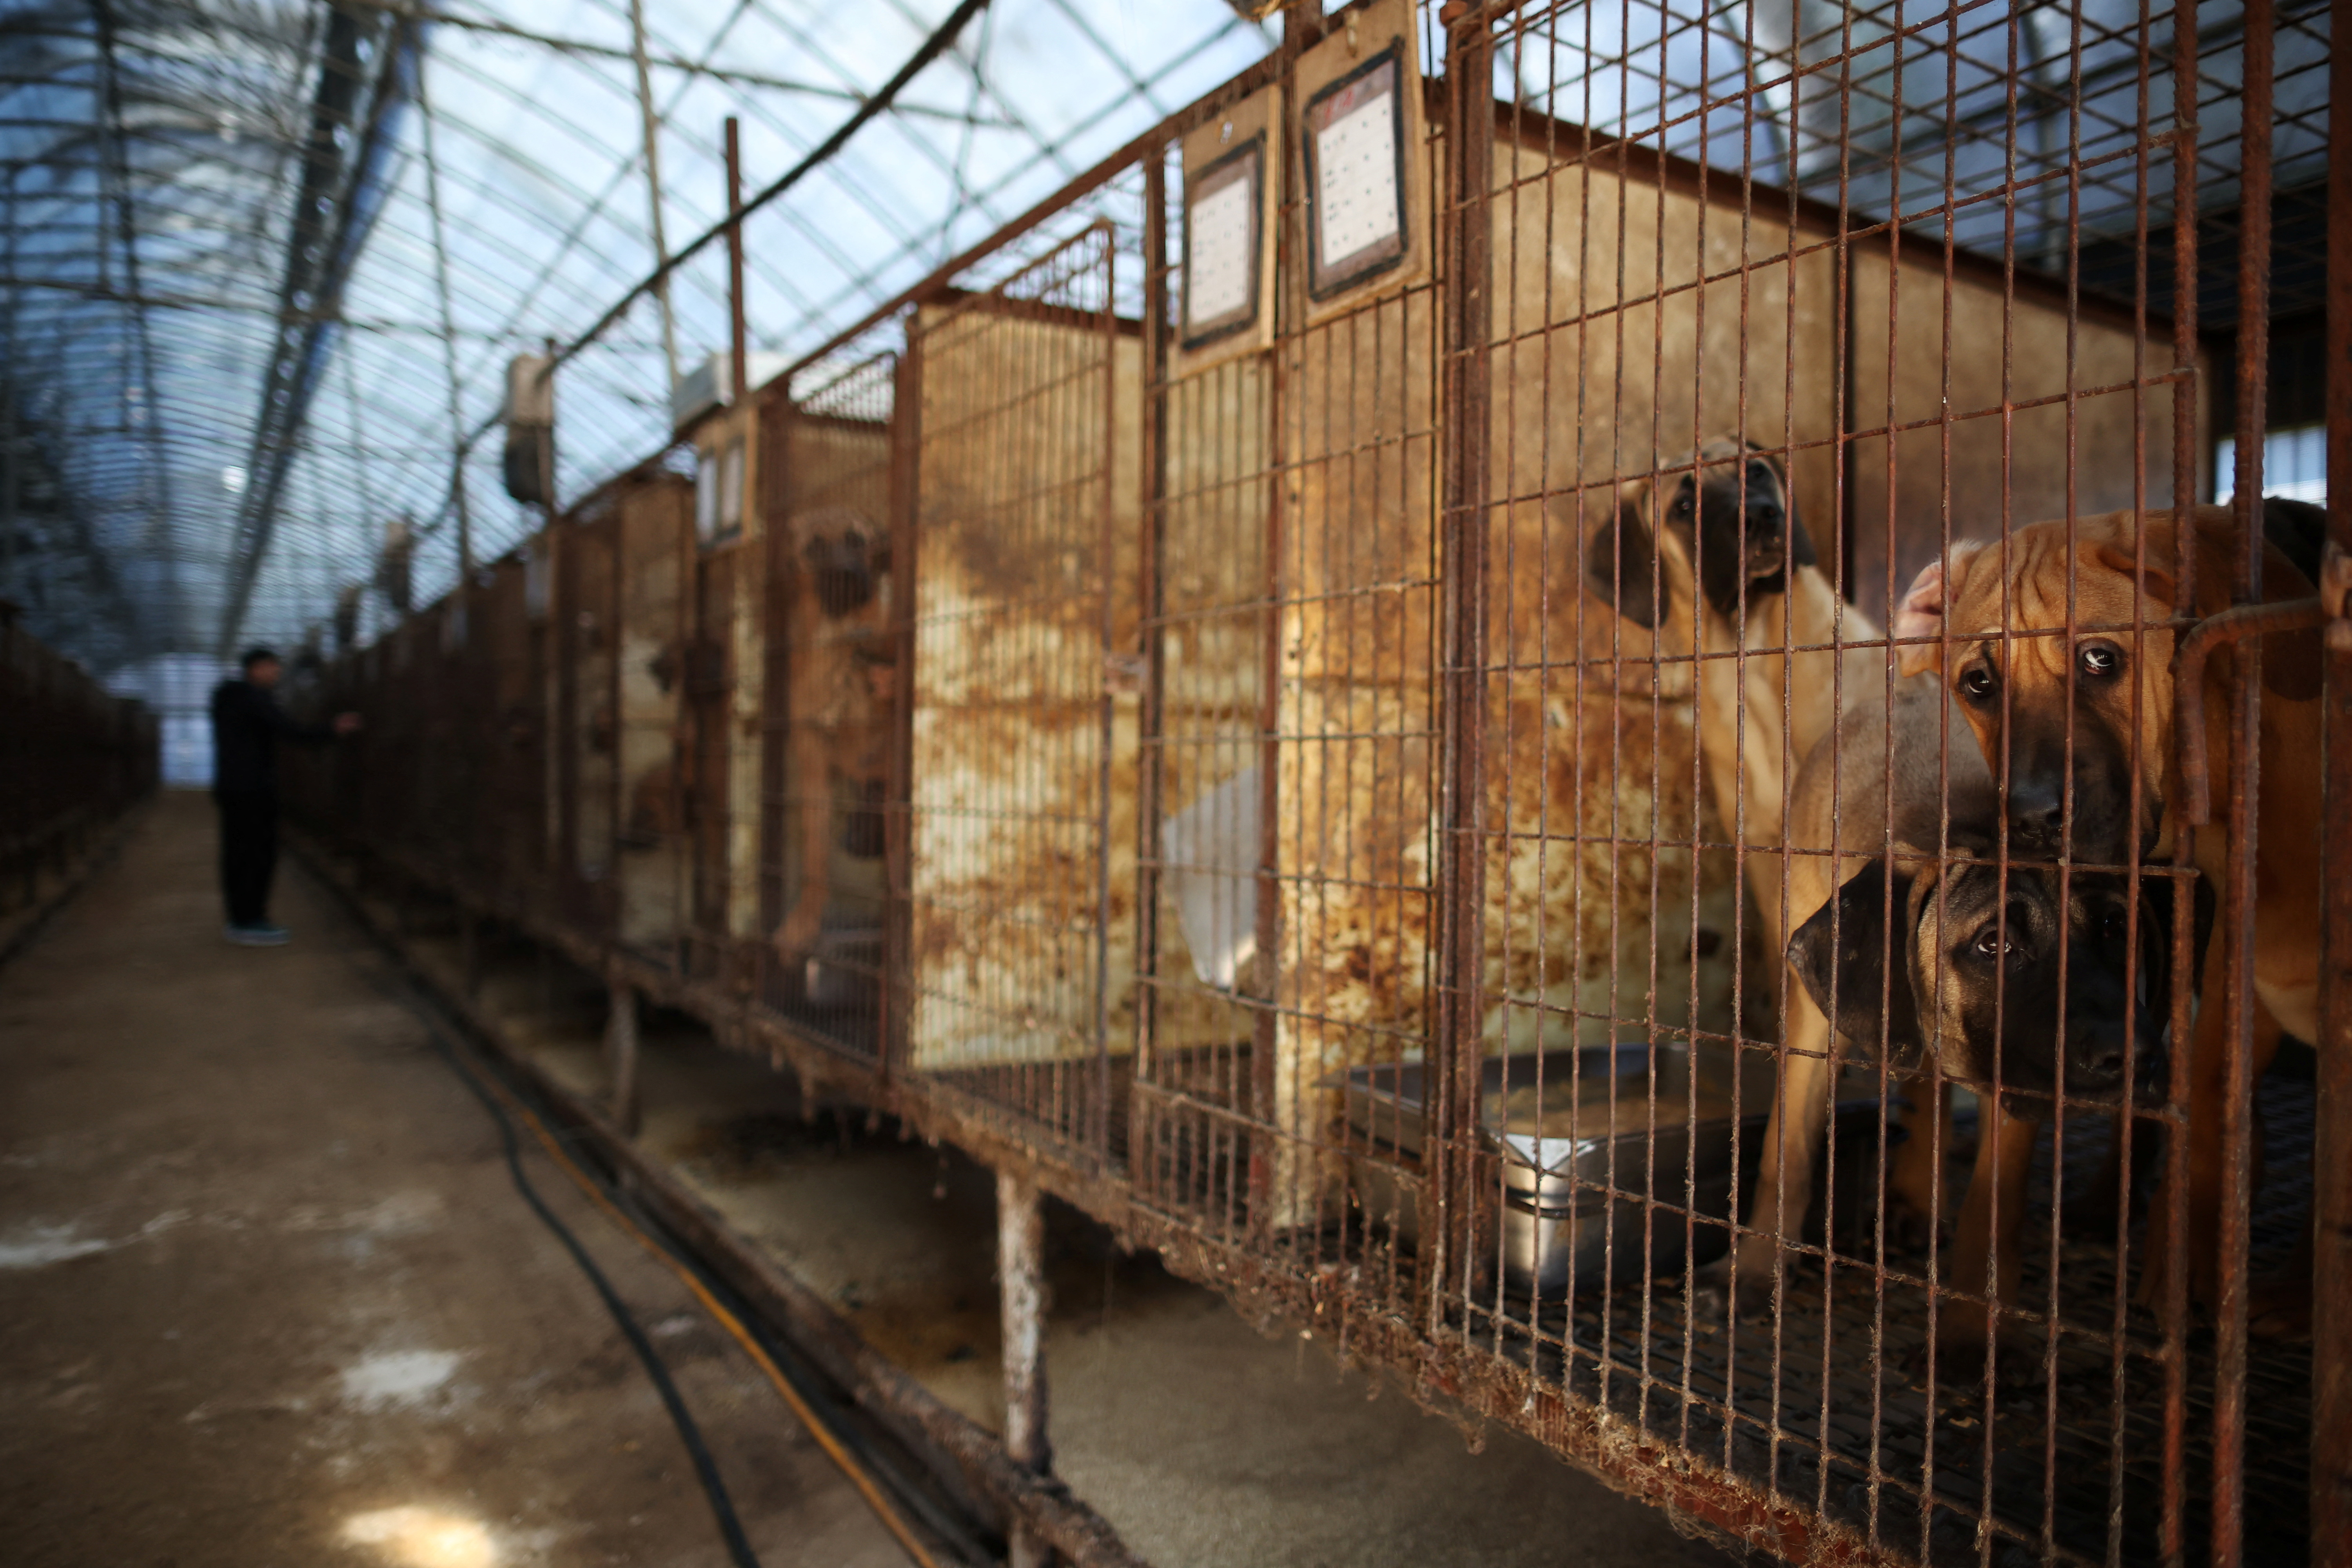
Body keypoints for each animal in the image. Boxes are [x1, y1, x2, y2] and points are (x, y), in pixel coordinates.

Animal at [771, 510, 889, 964]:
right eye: (815, 547)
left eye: (856, 539)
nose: (845, 577)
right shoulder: (812, 759)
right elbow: (815, 856)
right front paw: (803, 923)